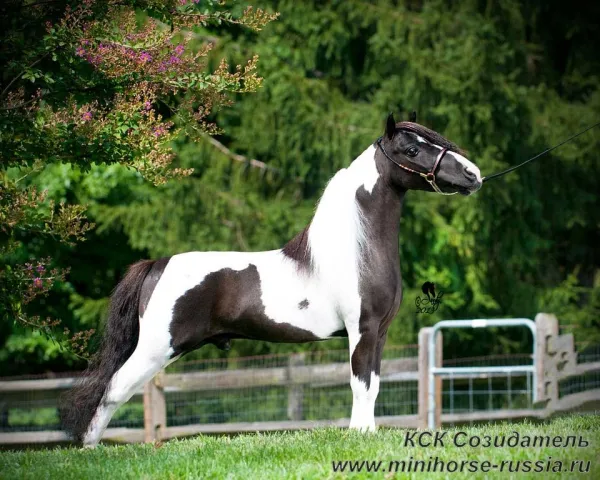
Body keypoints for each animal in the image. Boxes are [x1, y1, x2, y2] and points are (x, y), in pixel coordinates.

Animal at [60, 113, 482, 446]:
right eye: (412, 150)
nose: (473, 175)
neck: (356, 248)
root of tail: (156, 265)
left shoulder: (379, 332)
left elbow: (373, 384)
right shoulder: (362, 329)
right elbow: (360, 383)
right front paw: (359, 435)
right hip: (155, 349)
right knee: (113, 390)